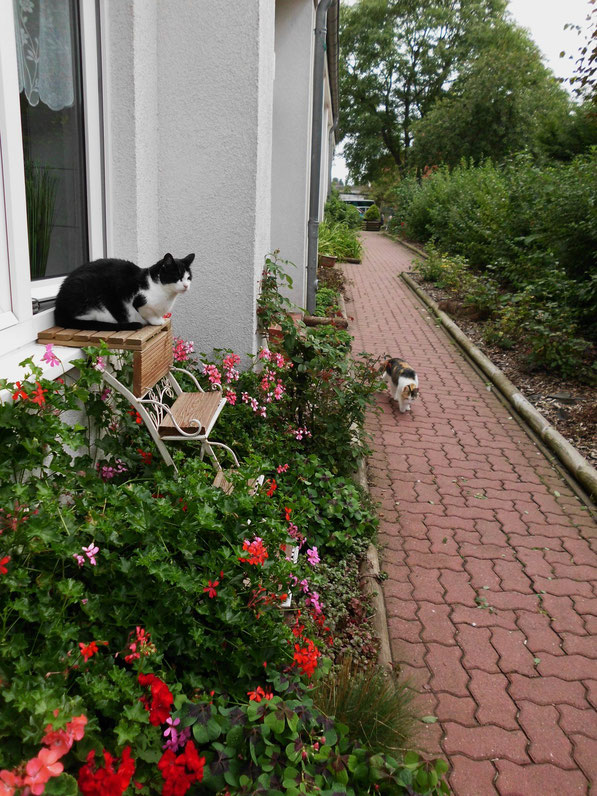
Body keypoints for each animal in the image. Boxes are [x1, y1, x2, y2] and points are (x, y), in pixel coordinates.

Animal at [53, 253, 193, 332]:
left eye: (188, 277)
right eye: (177, 277)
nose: (186, 286)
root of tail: (58, 308)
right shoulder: (140, 302)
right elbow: (148, 314)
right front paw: (157, 321)